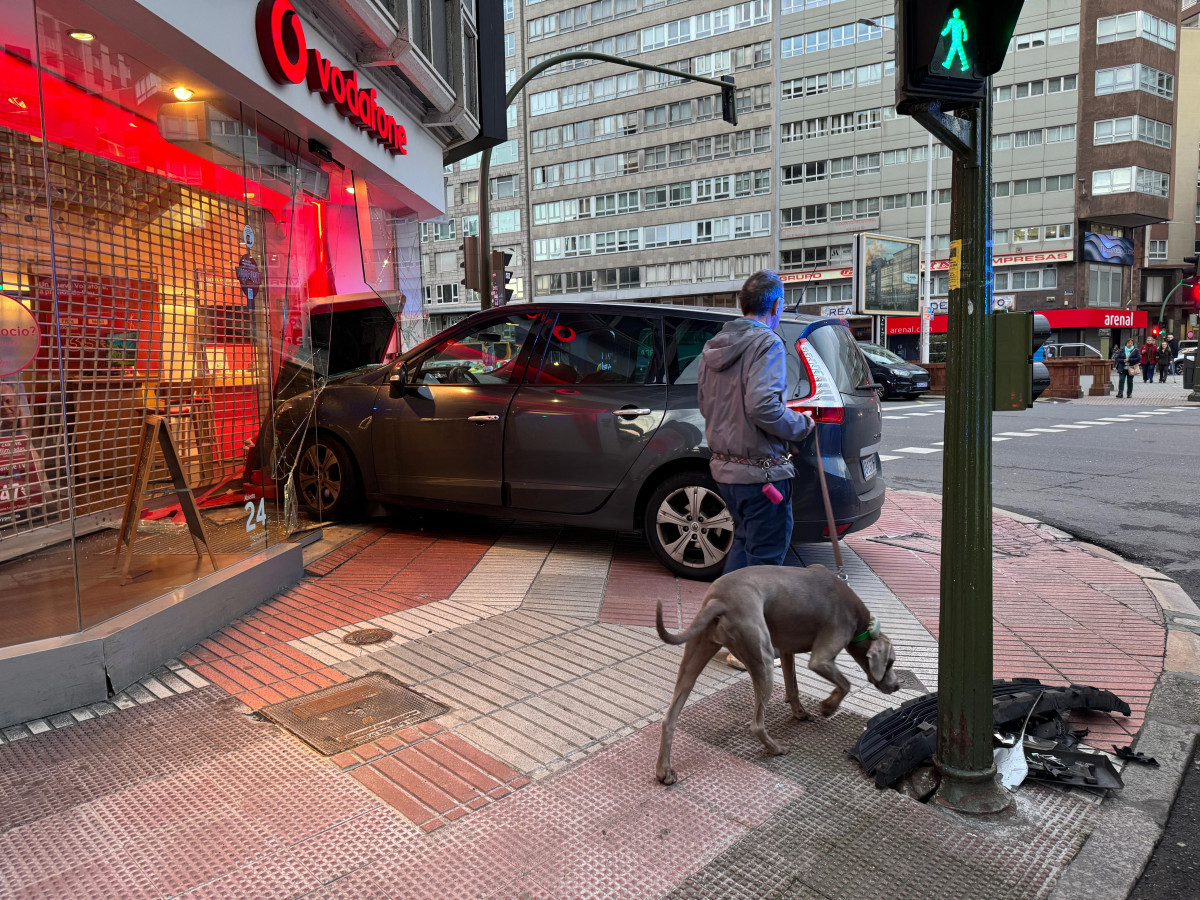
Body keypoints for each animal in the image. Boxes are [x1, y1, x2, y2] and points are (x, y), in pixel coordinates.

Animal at [657, 564, 902, 782]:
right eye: (890, 662)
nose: (897, 685)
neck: (858, 618)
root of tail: (719, 601)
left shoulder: (786, 649)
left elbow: (793, 685)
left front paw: (800, 712)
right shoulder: (821, 658)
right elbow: (844, 684)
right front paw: (828, 707)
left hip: (697, 653)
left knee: (670, 717)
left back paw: (664, 772)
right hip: (762, 657)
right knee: (756, 724)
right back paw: (776, 748)